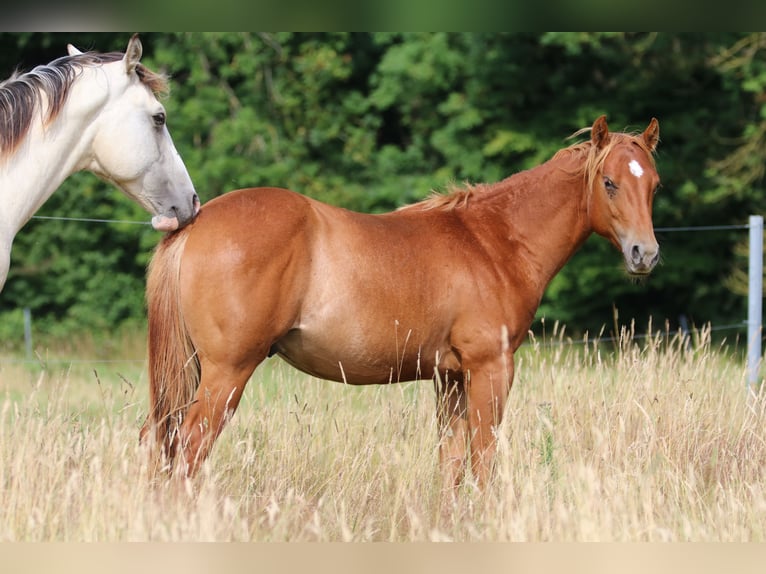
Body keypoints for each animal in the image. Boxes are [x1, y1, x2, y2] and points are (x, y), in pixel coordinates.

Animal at [142, 115, 661, 490]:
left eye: (653, 184)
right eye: (609, 182)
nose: (645, 254)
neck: (493, 241)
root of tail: (196, 222)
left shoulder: (450, 378)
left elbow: (452, 463)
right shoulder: (490, 369)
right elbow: (483, 460)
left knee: (159, 442)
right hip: (227, 373)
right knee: (188, 448)